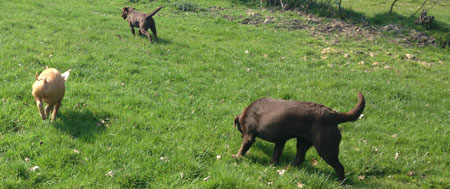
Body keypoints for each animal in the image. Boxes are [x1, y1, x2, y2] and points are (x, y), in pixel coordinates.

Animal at [234, 92, 364, 181]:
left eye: (240, 129)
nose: (240, 136)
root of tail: (334, 115)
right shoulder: (280, 140)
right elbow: (275, 155)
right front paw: (272, 166)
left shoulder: (249, 136)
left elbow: (243, 148)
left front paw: (236, 157)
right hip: (303, 142)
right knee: (299, 158)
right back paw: (287, 168)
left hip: (326, 149)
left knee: (339, 167)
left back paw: (341, 182)